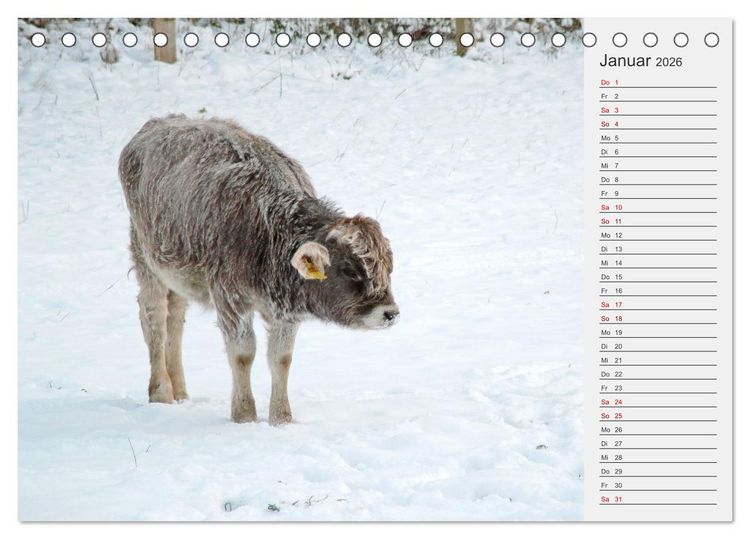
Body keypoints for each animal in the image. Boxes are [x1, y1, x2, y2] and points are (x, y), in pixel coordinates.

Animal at [118, 114, 399, 425]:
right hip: (147, 261)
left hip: (177, 276)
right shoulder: (230, 299)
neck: (268, 229)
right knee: (154, 318)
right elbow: (243, 355)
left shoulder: (284, 312)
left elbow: (281, 358)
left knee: (175, 319)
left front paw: (281, 418)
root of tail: (153, 125)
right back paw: (161, 392)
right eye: (350, 270)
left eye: (388, 269)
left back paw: (180, 391)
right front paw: (244, 415)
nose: (389, 313)